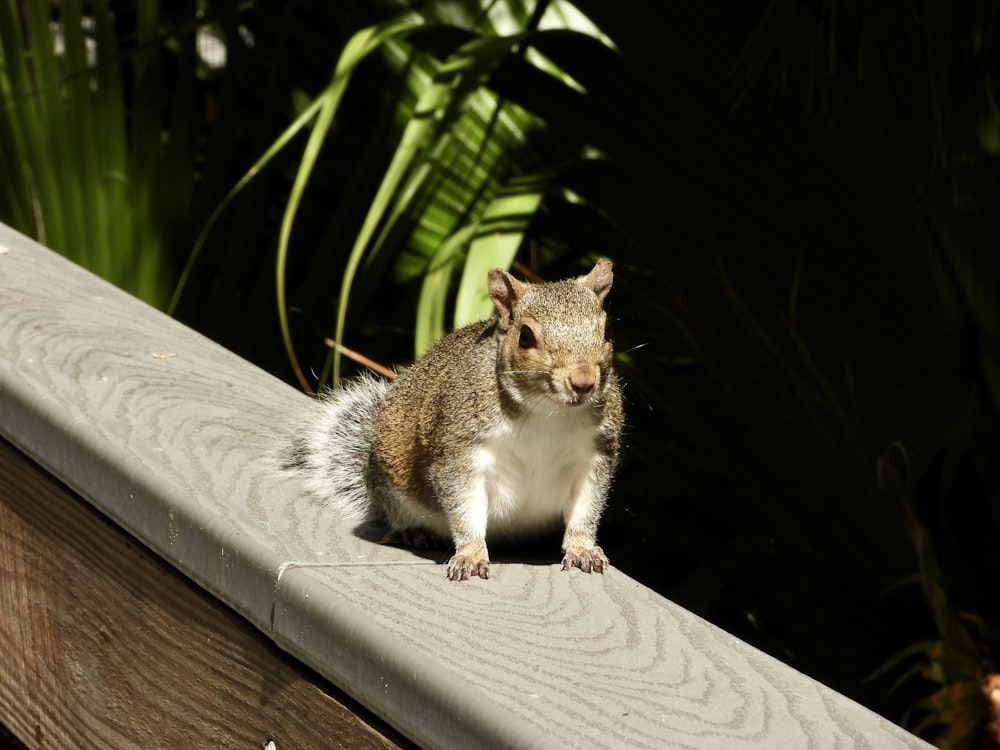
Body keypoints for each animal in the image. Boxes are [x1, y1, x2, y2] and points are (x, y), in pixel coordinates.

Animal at [280, 262, 624, 584]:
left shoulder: (595, 456)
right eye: (525, 336)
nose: (583, 381)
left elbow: (586, 508)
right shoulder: (460, 452)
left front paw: (582, 549)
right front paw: (470, 555)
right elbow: (464, 508)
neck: (548, 412)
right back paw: (414, 531)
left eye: (607, 331)